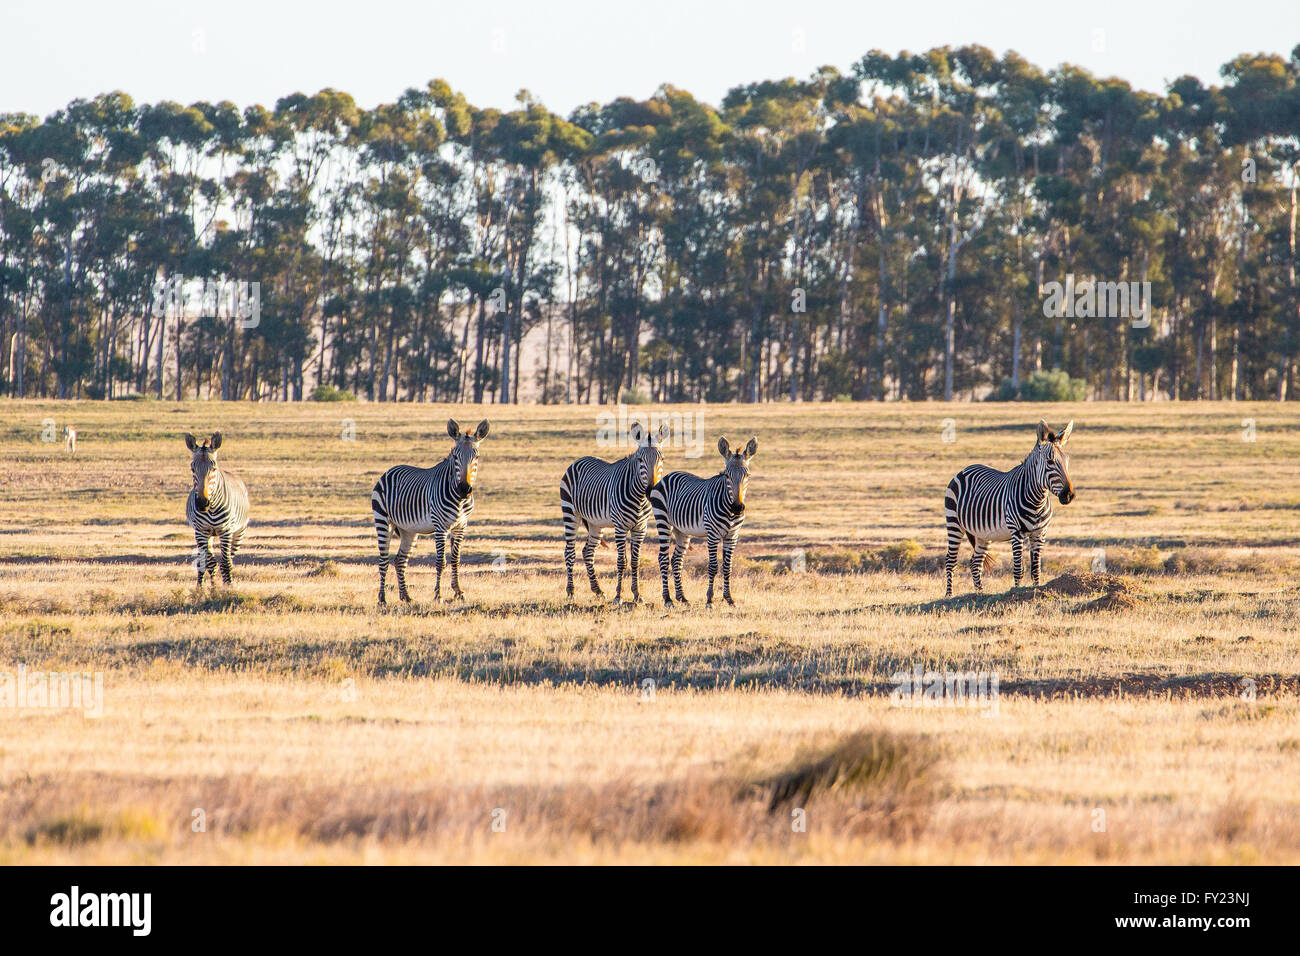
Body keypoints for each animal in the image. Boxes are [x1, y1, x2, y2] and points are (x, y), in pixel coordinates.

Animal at [185, 434, 250, 590]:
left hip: (239, 532)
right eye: (192, 468)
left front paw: (228, 588)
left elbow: (225, 563)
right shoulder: (201, 531)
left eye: (213, 467)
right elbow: (208, 562)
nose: (202, 503)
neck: (212, 508)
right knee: (205, 561)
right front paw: (208, 589)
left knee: (230, 558)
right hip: (207, 535)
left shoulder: (225, 531)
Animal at [371, 421, 488, 606]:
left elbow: (455, 560)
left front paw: (458, 592)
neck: (459, 500)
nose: (464, 489)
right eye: (455, 457)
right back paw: (382, 598)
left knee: (400, 560)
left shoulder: (461, 526)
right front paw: (438, 595)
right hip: (383, 521)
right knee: (383, 560)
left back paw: (406, 596)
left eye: (476, 457)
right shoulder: (441, 527)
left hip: (408, 530)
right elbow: (441, 562)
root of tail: (389, 470)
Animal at [559, 421, 665, 600]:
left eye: (662, 459)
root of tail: (579, 460)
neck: (639, 498)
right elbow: (622, 561)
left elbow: (635, 561)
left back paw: (597, 590)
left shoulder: (640, 528)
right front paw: (619, 596)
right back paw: (571, 591)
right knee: (569, 552)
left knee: (588, 552)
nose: (651, 490)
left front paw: (637, 594)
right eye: (640, 460)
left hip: (595, 523)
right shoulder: (620, 526)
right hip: (570, 512)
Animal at [650, 434, 759, 606]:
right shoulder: (713, 534)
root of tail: (668, 475)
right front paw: (709, 599)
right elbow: (713, 566)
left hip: (682, 530)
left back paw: (682, 597)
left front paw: (729, 598)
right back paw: (668, 599)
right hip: (663, 521)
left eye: (747, 475)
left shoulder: (732, 536)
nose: (737, 507)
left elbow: (727, 567)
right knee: (663, 558)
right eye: (726, 475)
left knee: (676, 560)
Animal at [946, 421, 1076, 598]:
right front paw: (1015, 593)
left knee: (975, 563)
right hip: (954, 523)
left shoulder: (1040, 534)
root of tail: (964, 469)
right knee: (950, 561)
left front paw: (1036, 590)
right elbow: (1018, 570)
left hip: (982, 534)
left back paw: (979, 593)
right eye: (1050, 462)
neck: (1037, 501)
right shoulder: (1017, 533)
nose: (1069, 495)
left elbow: (1036, 570)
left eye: (1067, 461)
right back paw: (949, 595)